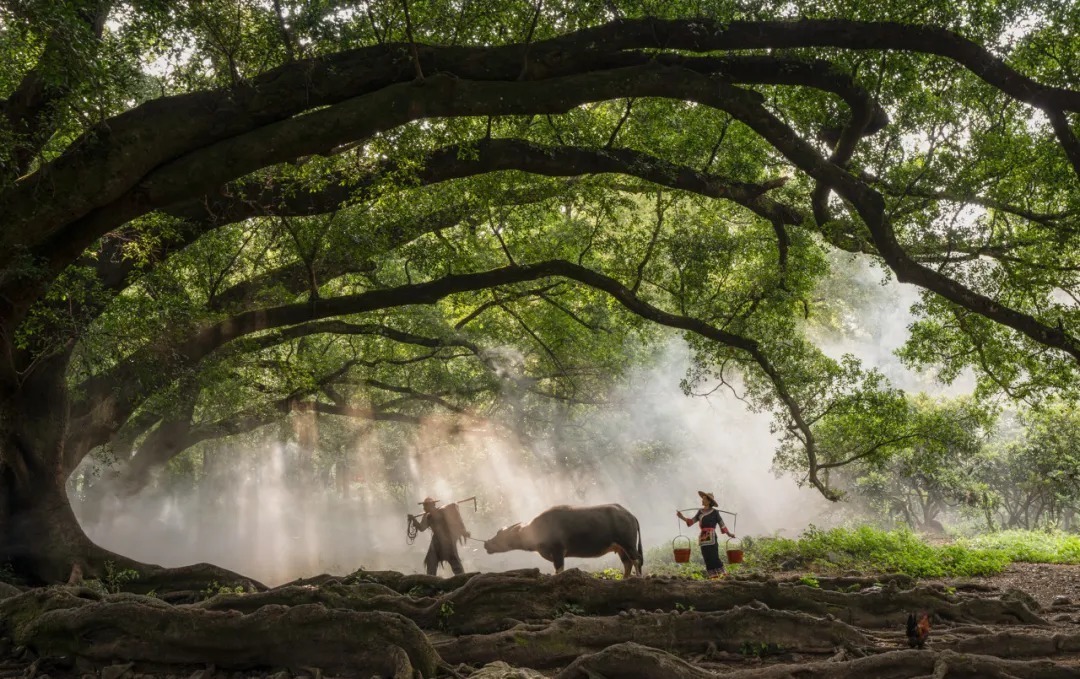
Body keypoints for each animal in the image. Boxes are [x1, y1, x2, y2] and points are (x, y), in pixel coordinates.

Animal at [481, 500, 639, 574]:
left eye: (500, 534)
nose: (486, 543)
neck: (536, 530)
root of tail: (630, 515)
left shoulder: (558, 551)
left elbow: (559, 569)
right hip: (620, 548)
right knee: (627, 563)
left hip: (628, 544)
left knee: (637, 560)